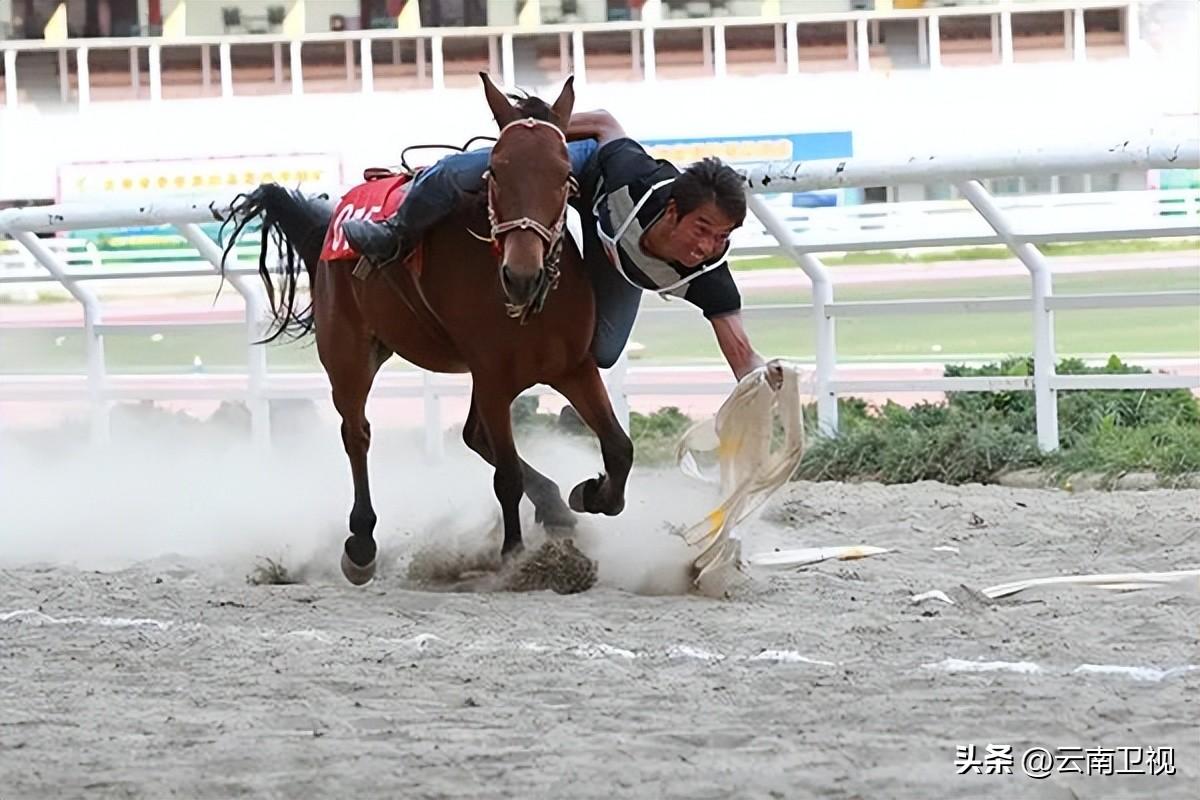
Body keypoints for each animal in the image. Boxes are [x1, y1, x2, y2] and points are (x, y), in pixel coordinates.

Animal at [220, 74, 633, 585]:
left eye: (564, 175)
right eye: (495, 171)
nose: (521, 275)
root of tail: (335, 221)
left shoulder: (572, 367)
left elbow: (619, 448)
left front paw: (592, 494)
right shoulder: (493, 377)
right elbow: (507, 475)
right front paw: (514, 556)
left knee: (472, 436)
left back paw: (555, 506)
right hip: (348, 353)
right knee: (357, 434)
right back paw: (361, 544)